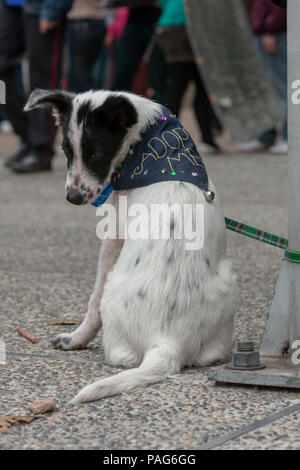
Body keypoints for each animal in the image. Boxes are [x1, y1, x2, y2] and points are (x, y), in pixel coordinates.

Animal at [24, 89, 237, 404]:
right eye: (65, 151)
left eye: (97, 154)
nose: (72, 198)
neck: (148, 143)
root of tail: (167, 344)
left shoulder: (113, 236)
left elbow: (92, 302)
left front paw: (75, 338)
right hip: (229, 286)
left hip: (114, 296)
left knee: (118, 351)